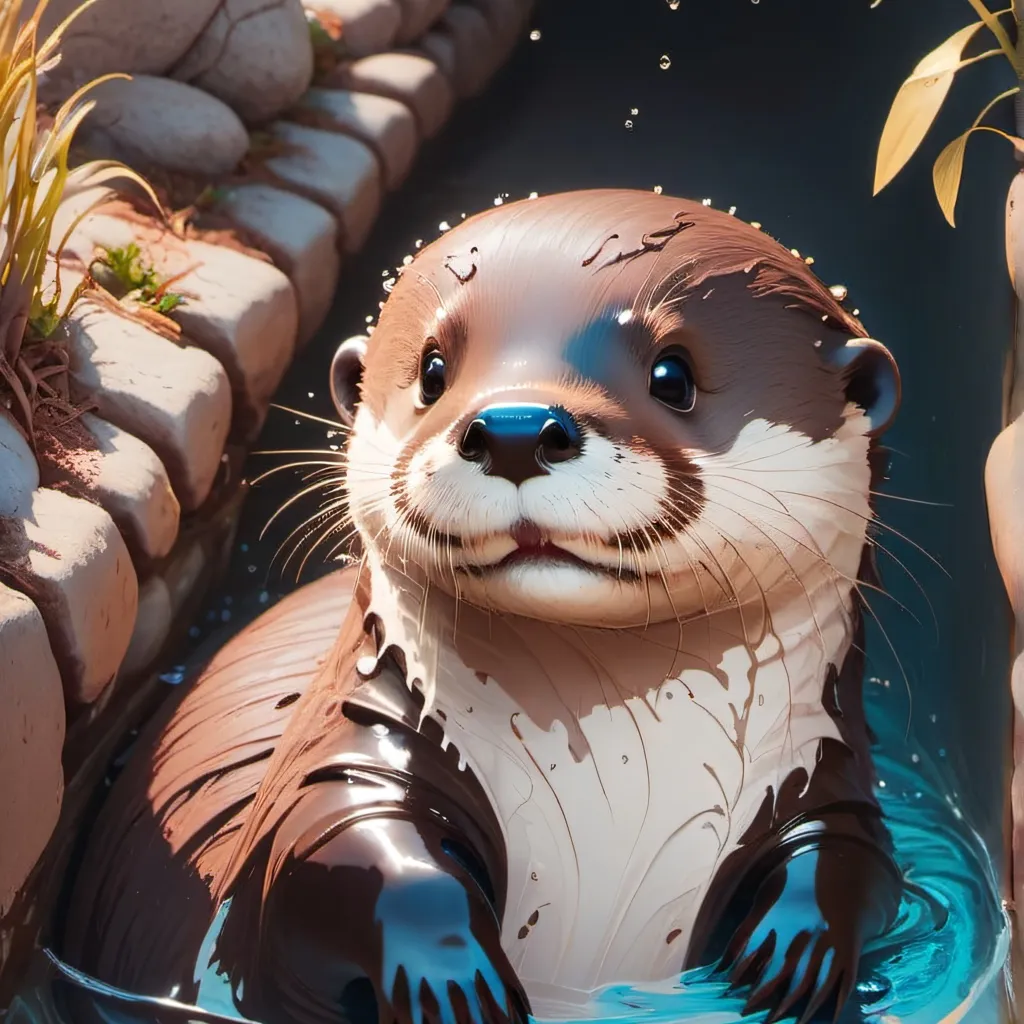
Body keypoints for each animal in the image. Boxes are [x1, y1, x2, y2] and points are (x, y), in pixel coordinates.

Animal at [62, 189, 904, 1024]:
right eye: (432, 370)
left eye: (674, 374)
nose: (515, 428)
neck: (623, 785)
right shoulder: (354, 746)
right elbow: (338, 845)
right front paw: (453, 980)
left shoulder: (827, 772)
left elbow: (857, 860)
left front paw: (799, 948)